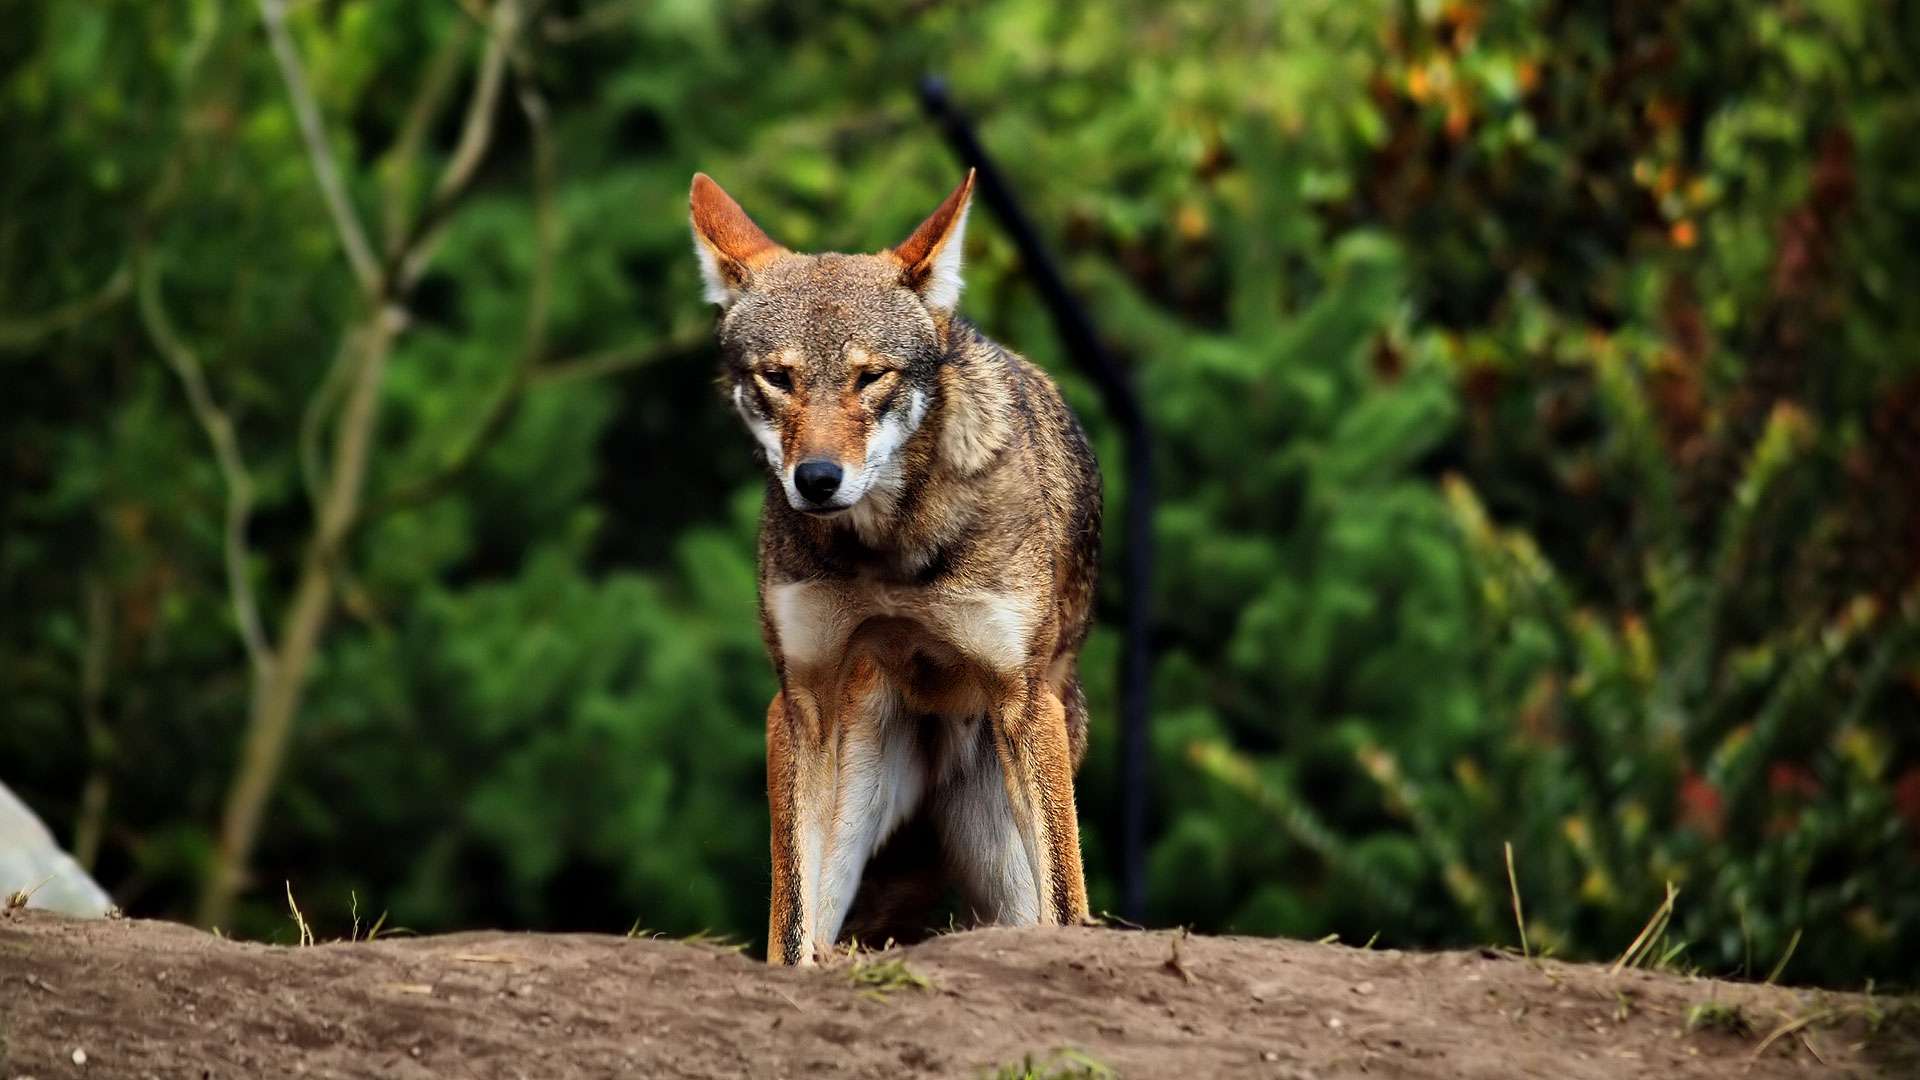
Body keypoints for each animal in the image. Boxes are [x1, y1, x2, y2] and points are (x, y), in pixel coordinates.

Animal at [689, 170, 1102, 965]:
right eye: (778, 378)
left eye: (869, 377)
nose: (817, 479)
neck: (889, 551)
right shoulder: (799, 700)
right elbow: (790, 929)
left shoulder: (1022, 697)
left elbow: (1069, 910)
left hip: (1010, 844)